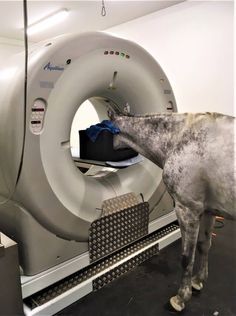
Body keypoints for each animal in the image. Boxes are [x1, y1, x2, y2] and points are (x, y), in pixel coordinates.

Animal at [108, 110, 235, 312]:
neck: (178, 138)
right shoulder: (208, 210)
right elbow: (204, 246)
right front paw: (198, 280)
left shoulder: (187, 210)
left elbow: (186, 257)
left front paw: (181, 298)